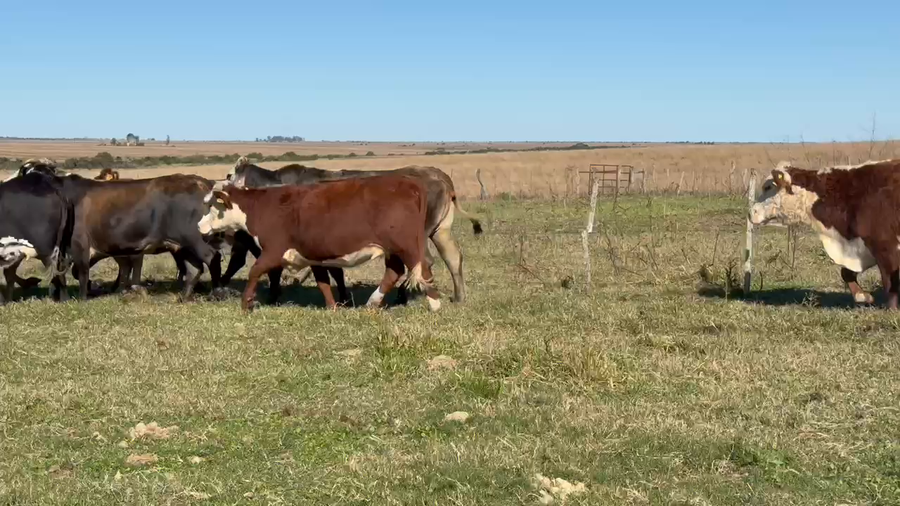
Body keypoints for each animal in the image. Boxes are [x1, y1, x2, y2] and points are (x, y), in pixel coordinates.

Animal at [197, 175, 441, 312]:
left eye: (212, 207)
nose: (199, 225)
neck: (262, 206)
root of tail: (410, 183)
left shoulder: (274, 250)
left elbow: (255, 271)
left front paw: (246, 303)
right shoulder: (313, 256)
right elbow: (323, 283)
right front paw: (333, 308)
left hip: (407, 245)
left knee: (423, 270)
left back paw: (435, 305)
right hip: (393, 249)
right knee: (394, 271)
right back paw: (372, 303)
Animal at [223, 157, 481, 305]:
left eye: (229, 176)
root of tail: (438, 176)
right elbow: (334, 271)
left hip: (413, 237)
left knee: (422, 262)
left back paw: (401, 295)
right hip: (440, 231)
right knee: (452, 257)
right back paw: (459, 297)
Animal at [749, 159, 900, 308]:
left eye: (767, 187)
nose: (751, 212)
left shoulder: (886, 247)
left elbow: (889, 282)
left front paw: (891, 309)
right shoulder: (861, 247)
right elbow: (846, 273)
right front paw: (862, 296)